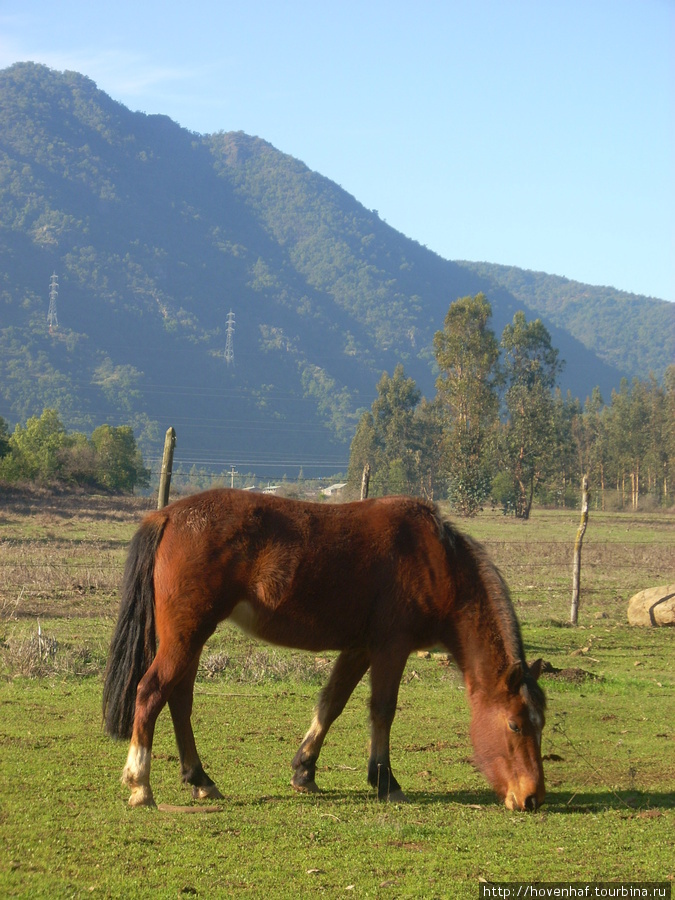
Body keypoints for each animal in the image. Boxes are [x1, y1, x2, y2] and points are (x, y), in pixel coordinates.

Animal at [105, 488, 548, 812]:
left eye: (540, 724)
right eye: (514, 725)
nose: (532, 797)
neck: (435, 559)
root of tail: (167, 516)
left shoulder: (359, 648)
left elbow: (331, 704)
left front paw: (304, 771)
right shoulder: (391, 647)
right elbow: (382, 710)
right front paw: (386, 781)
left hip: (193, 637)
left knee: (179, 700)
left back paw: (200, 780)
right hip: (186, 636)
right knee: (151, 693)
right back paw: (141, 786)